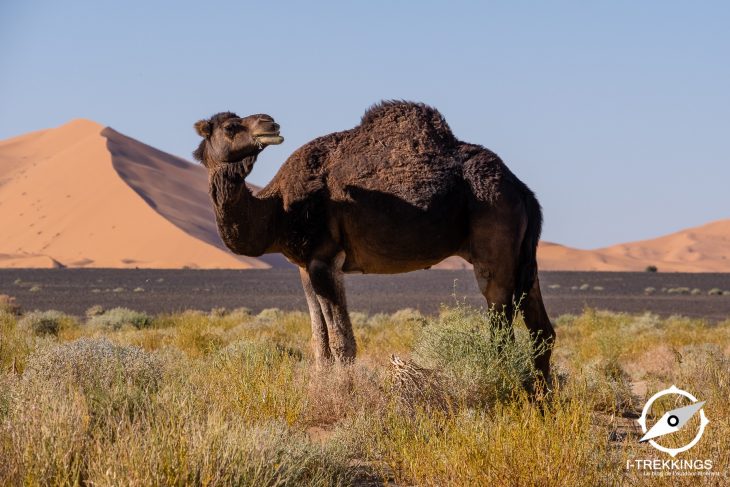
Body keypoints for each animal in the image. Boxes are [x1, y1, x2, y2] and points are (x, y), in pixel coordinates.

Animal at [192, 102, 552, 386]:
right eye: (231, 126)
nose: (270, 123)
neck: (278, 209)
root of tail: (522, 189)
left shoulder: (325, 258)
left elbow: (342, 343)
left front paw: (344, 395)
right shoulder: (305, 267)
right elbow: (319, 342)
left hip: (494, 244)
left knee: (501, 328)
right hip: (523, 257)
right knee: (542, 331)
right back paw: (543, 404)